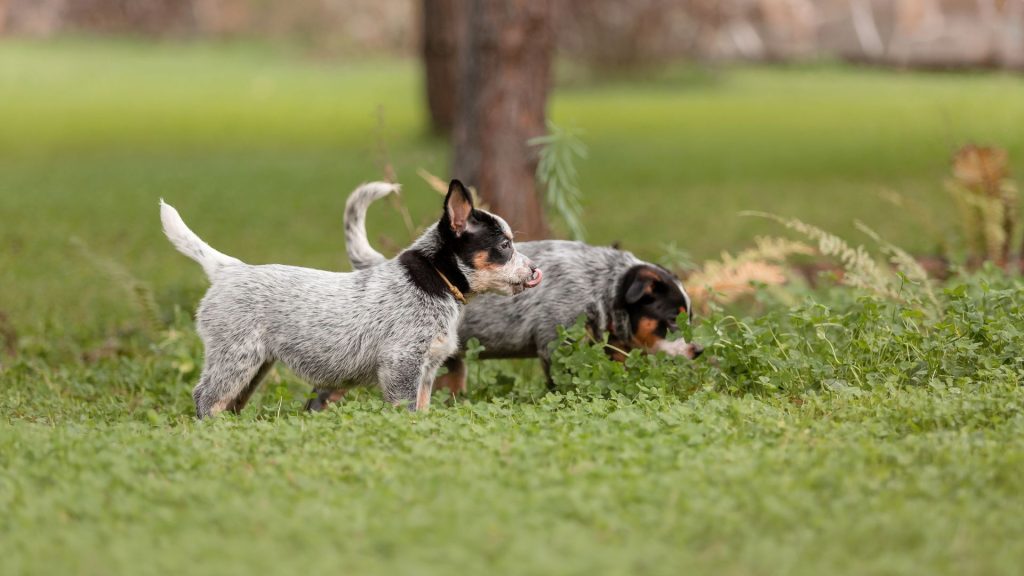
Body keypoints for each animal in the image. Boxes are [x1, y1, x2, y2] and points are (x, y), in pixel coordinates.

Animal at [159, 177, 540, 414]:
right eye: (504, 246)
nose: (536, 270)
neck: (436, 278)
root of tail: (228, 269)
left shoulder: (428, 370)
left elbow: (422, 410)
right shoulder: (401, 364)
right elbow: (404, 409)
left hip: (254, 366)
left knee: (229, 402)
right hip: (236, 357)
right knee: (206, 397)